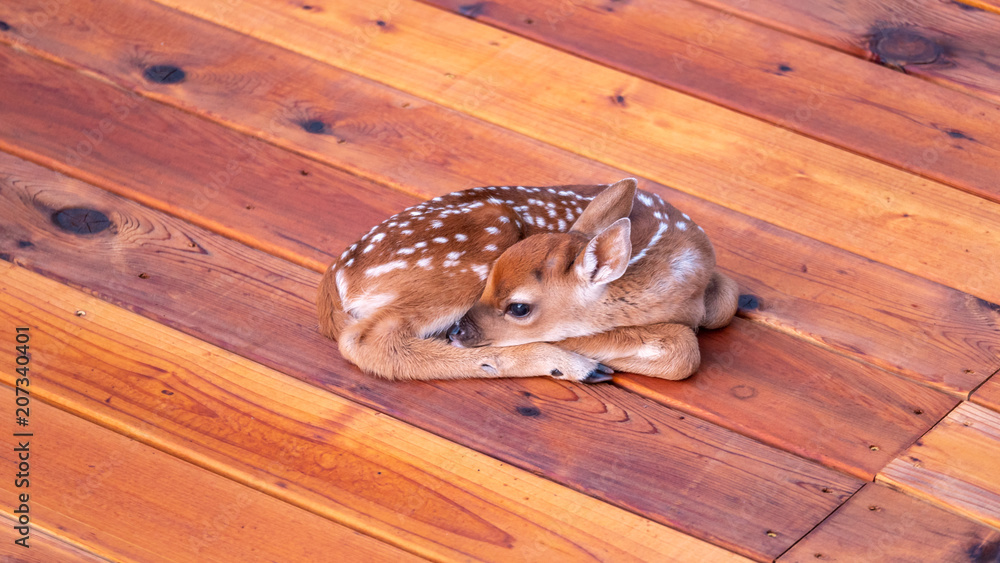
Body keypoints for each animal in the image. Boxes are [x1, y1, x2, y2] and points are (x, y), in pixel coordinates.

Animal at [318, 178, 738, 383]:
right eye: (490, 285)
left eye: (519, 307)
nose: (456, 332)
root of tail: (336, 278)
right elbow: (685, 347)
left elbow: (727, 300)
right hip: (476, 247)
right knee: (367, 340)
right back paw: (575, 366)